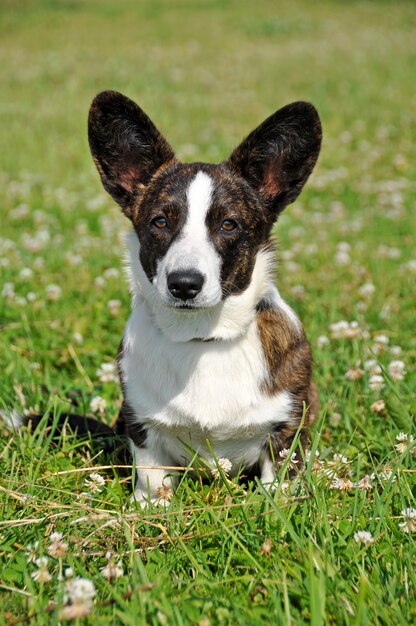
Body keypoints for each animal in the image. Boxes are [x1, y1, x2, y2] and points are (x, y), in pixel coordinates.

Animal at [86, 91, 324, 502]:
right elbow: (152, 479)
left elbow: (277, 484)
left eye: (229, 224)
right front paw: (149, 507)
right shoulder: (141, 426)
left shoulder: (285, 429)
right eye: (160, 221)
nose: (184, 283)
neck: (201, 339)